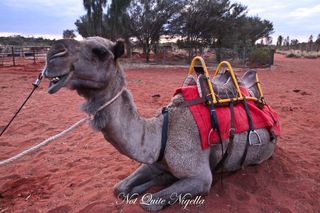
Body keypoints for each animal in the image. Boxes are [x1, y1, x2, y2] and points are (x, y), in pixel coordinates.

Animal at [43, 37, 276, 211]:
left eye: (99, 51)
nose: (52, 54)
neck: (162, 132)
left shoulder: (201, 178)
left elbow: (148, 202)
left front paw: (151, 188)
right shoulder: (155, 160)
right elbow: (119, 188)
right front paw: (138, 187)